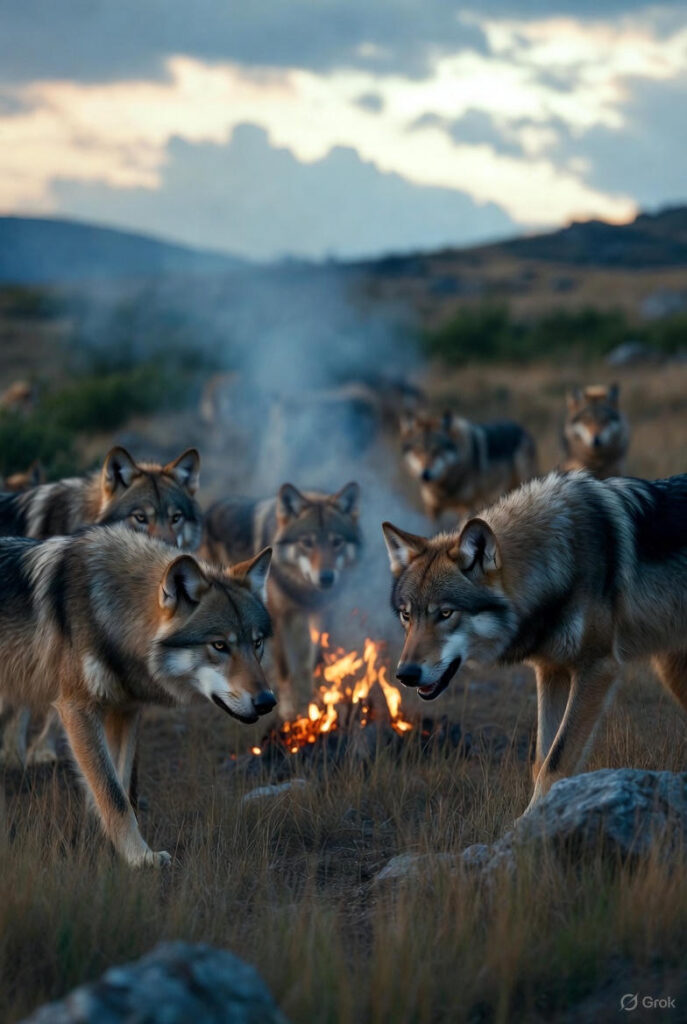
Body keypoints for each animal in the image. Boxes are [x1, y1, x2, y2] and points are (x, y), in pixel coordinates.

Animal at [0, 526, 274, 866]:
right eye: (220, 645)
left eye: (257, 643)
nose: (267, 701)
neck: (112, 618)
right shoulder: (77, 708)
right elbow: (113, 794)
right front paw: (139, 858)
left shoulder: (125, 711)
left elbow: (120, 788)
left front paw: (109, 845)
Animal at [204, 482, 362, 717]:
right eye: (307, 542)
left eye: (337, 542)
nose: (326, 577)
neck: (303, 589)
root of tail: (213, 505)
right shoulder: (278, 620)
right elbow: (285, 669)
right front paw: (288, 710)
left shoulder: (321, 614)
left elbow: (310, 660)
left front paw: (312, 701)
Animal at [383, 471, 687, 811]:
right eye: (407, 616)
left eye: (446, 613)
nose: (405, 675)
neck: (559, 560)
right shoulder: (551, 671)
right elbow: (541, 760)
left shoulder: (598, 668)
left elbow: (557, 760)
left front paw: (531, 821)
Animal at [400, 411, 537, 523]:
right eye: (418, 451)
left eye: (437, 451)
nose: (425, 474)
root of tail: (523, 429)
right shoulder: (432, 509)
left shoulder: (467, 508)